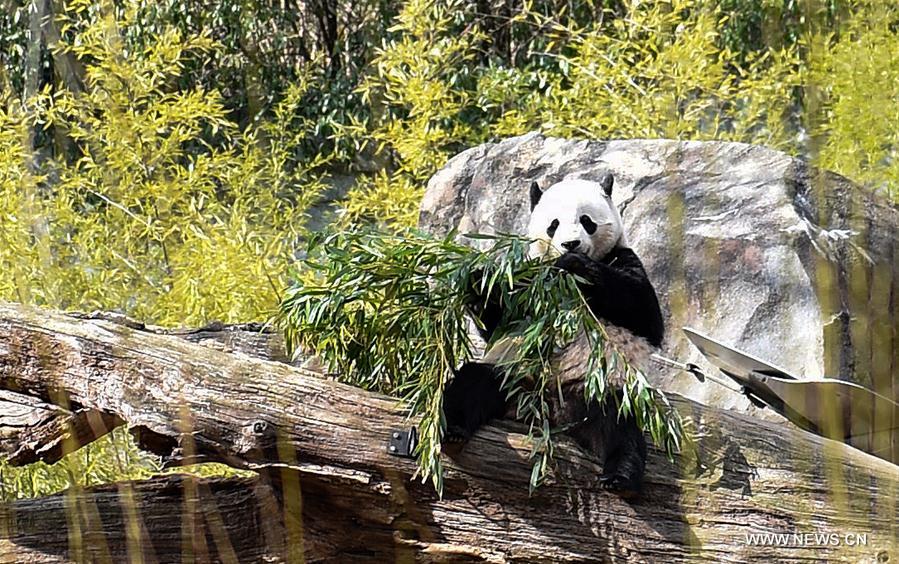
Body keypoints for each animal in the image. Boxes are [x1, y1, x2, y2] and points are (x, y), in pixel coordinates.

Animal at [444, 174, 668, 496]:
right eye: (554, 224)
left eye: (587, 221)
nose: (570, 245)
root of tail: (549, 410)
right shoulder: (529, 277)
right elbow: (503, 322)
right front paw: (477, 282)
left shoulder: (622, 258)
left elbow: (644, 312)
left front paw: (575, 266)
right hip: (512, 375)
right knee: (471, 384)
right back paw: (452, 431)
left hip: (597, 388)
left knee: (620, 427)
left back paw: (620, 478)